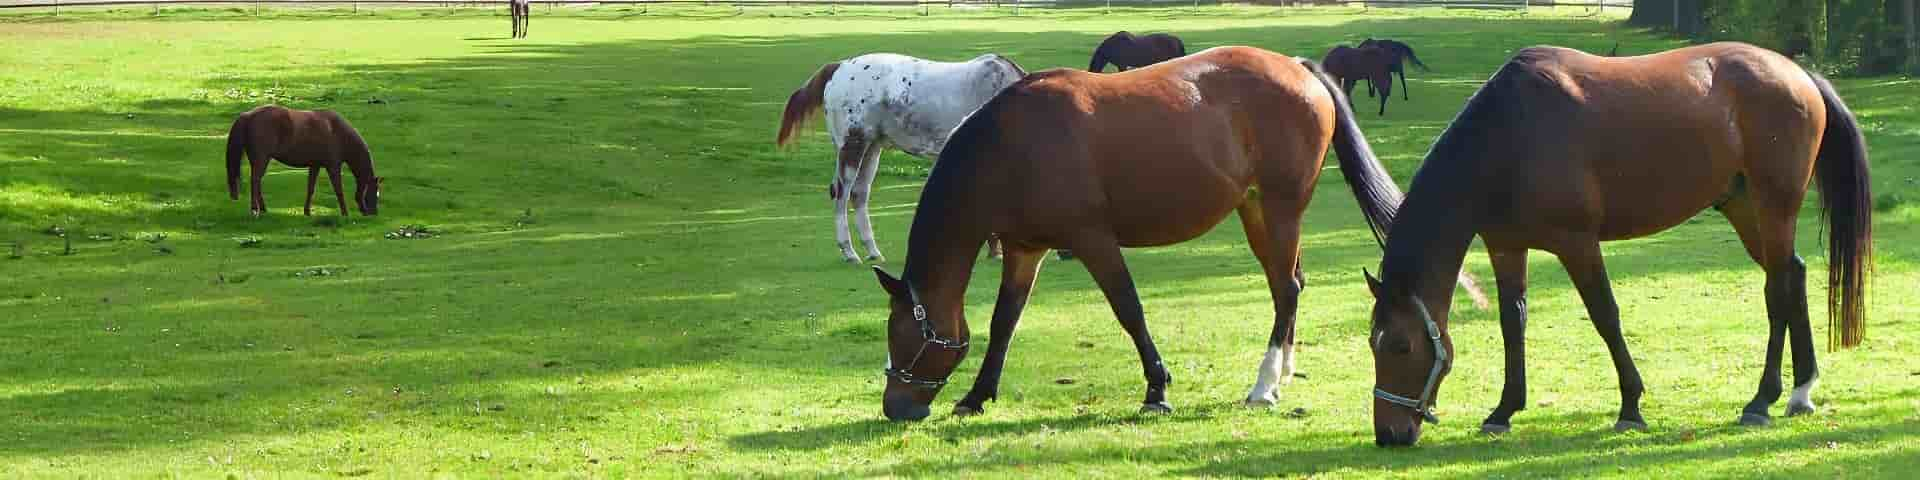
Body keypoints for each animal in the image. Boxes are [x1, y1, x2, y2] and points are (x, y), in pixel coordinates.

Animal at [224, 106, 382, 217]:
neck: (337, 131)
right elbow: (338, 190)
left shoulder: (315, 165)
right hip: (261, 160)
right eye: (374, 193)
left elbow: (310, 189)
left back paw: (263, 209)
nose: (373, 213)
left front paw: (307, 212)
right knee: (255, 181)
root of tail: (248, 115)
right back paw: (255, 210)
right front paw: (345, 213)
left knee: (257, 183)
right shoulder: (333, 166)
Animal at [775, 53, 1036, 263]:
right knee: (842, 193)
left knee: (859, 194)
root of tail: (839, 67)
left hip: (872, 149)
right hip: (853, 146)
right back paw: (849, 252)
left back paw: (873, 251)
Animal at [871, 45, 1482, 420]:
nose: (895, 406)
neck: (1013, 146)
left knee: (1286, 289)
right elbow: (1004, 324)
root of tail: (1298, 69)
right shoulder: (1026, 250)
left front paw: (1156, 390)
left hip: (1281, 208)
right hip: (1257, 212)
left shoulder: (1093, 240)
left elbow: (1129, 310)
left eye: (901, 334)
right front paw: (977, 395)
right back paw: (1282, 370)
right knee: (1288, 286)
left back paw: (1264, 385)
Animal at [1367, 43, 1873, 447]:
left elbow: (1604, 316)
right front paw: (1503, 411)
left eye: (1401, 346)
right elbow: (1514, 323)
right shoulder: (1506, 247)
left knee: (1777, 291)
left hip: (1774, 207)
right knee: (1792, 274)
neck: (1509, 136)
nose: (1390, 434)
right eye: (1374, 345)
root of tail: (1799, 75)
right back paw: (1801, 389)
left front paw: (1630, 406)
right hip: (1746, 208)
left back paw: (1761, 400)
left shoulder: (1577, 243)